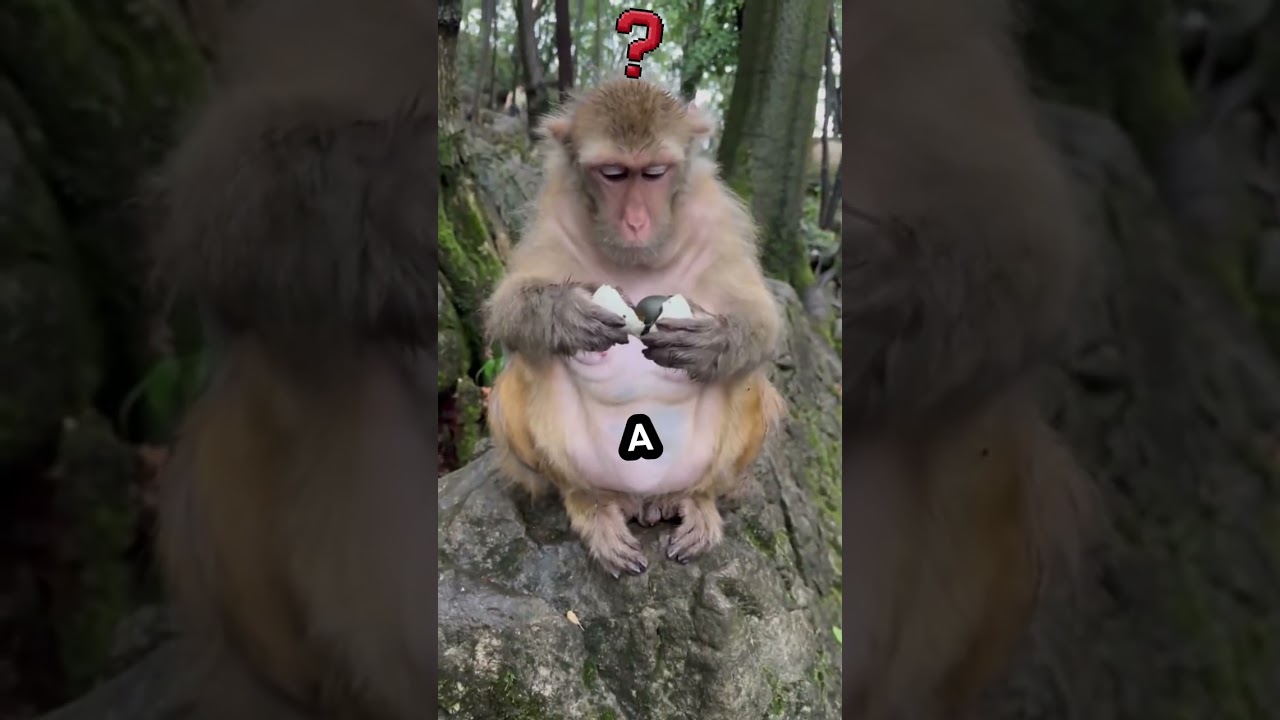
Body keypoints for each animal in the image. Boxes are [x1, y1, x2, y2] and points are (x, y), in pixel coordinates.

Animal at [482, 78, 787, 578]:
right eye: (613, 173)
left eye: (654, 173)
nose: (636, 222)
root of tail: (640, 498)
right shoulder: (556, 209)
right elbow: (507, 308)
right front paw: (566, 315)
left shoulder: (716, 214)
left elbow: (761, 319)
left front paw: (711, 343)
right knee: (524, 373)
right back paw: (590, 507)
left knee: (747, 380)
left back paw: (696, 500)